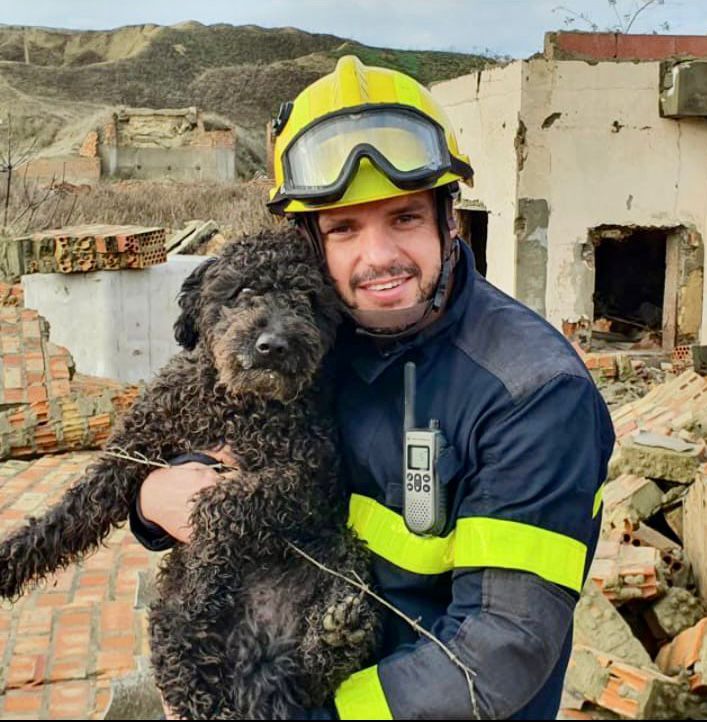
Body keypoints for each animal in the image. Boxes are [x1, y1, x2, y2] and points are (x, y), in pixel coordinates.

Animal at [0, 229, 382, 716]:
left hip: (339, 554)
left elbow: (221, 506)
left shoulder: (309, 479)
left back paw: (335, 630)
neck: (234, 404)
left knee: (309, 667)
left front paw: (206, 571)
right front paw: (9, 560)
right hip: (172, 632)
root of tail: (256, 659)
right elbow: (68, 514)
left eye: (309, 299)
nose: (273, 345)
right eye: (244, 290)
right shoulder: (132, 452)